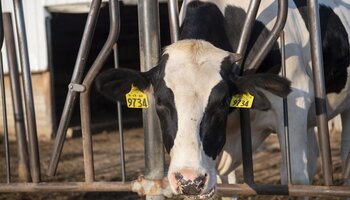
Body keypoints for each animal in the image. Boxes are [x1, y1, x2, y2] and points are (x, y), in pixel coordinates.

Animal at [95, 0, 350, 198]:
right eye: (159, 102)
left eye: (222, 102)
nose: (189, 180)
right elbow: (226, 184)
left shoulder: (295, 100)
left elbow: (295, 177)